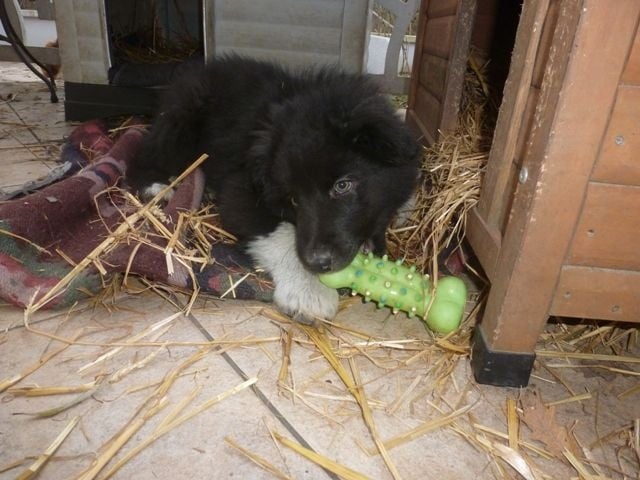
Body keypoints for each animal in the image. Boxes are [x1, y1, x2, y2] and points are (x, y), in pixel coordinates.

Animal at [130, 55, 421, 323]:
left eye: (342, 185)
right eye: (293, 198)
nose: (316, 262)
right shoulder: (241, 190)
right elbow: (279, 233)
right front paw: (309, 290)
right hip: (181, 119)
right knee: (144, 152)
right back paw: (158, 187)